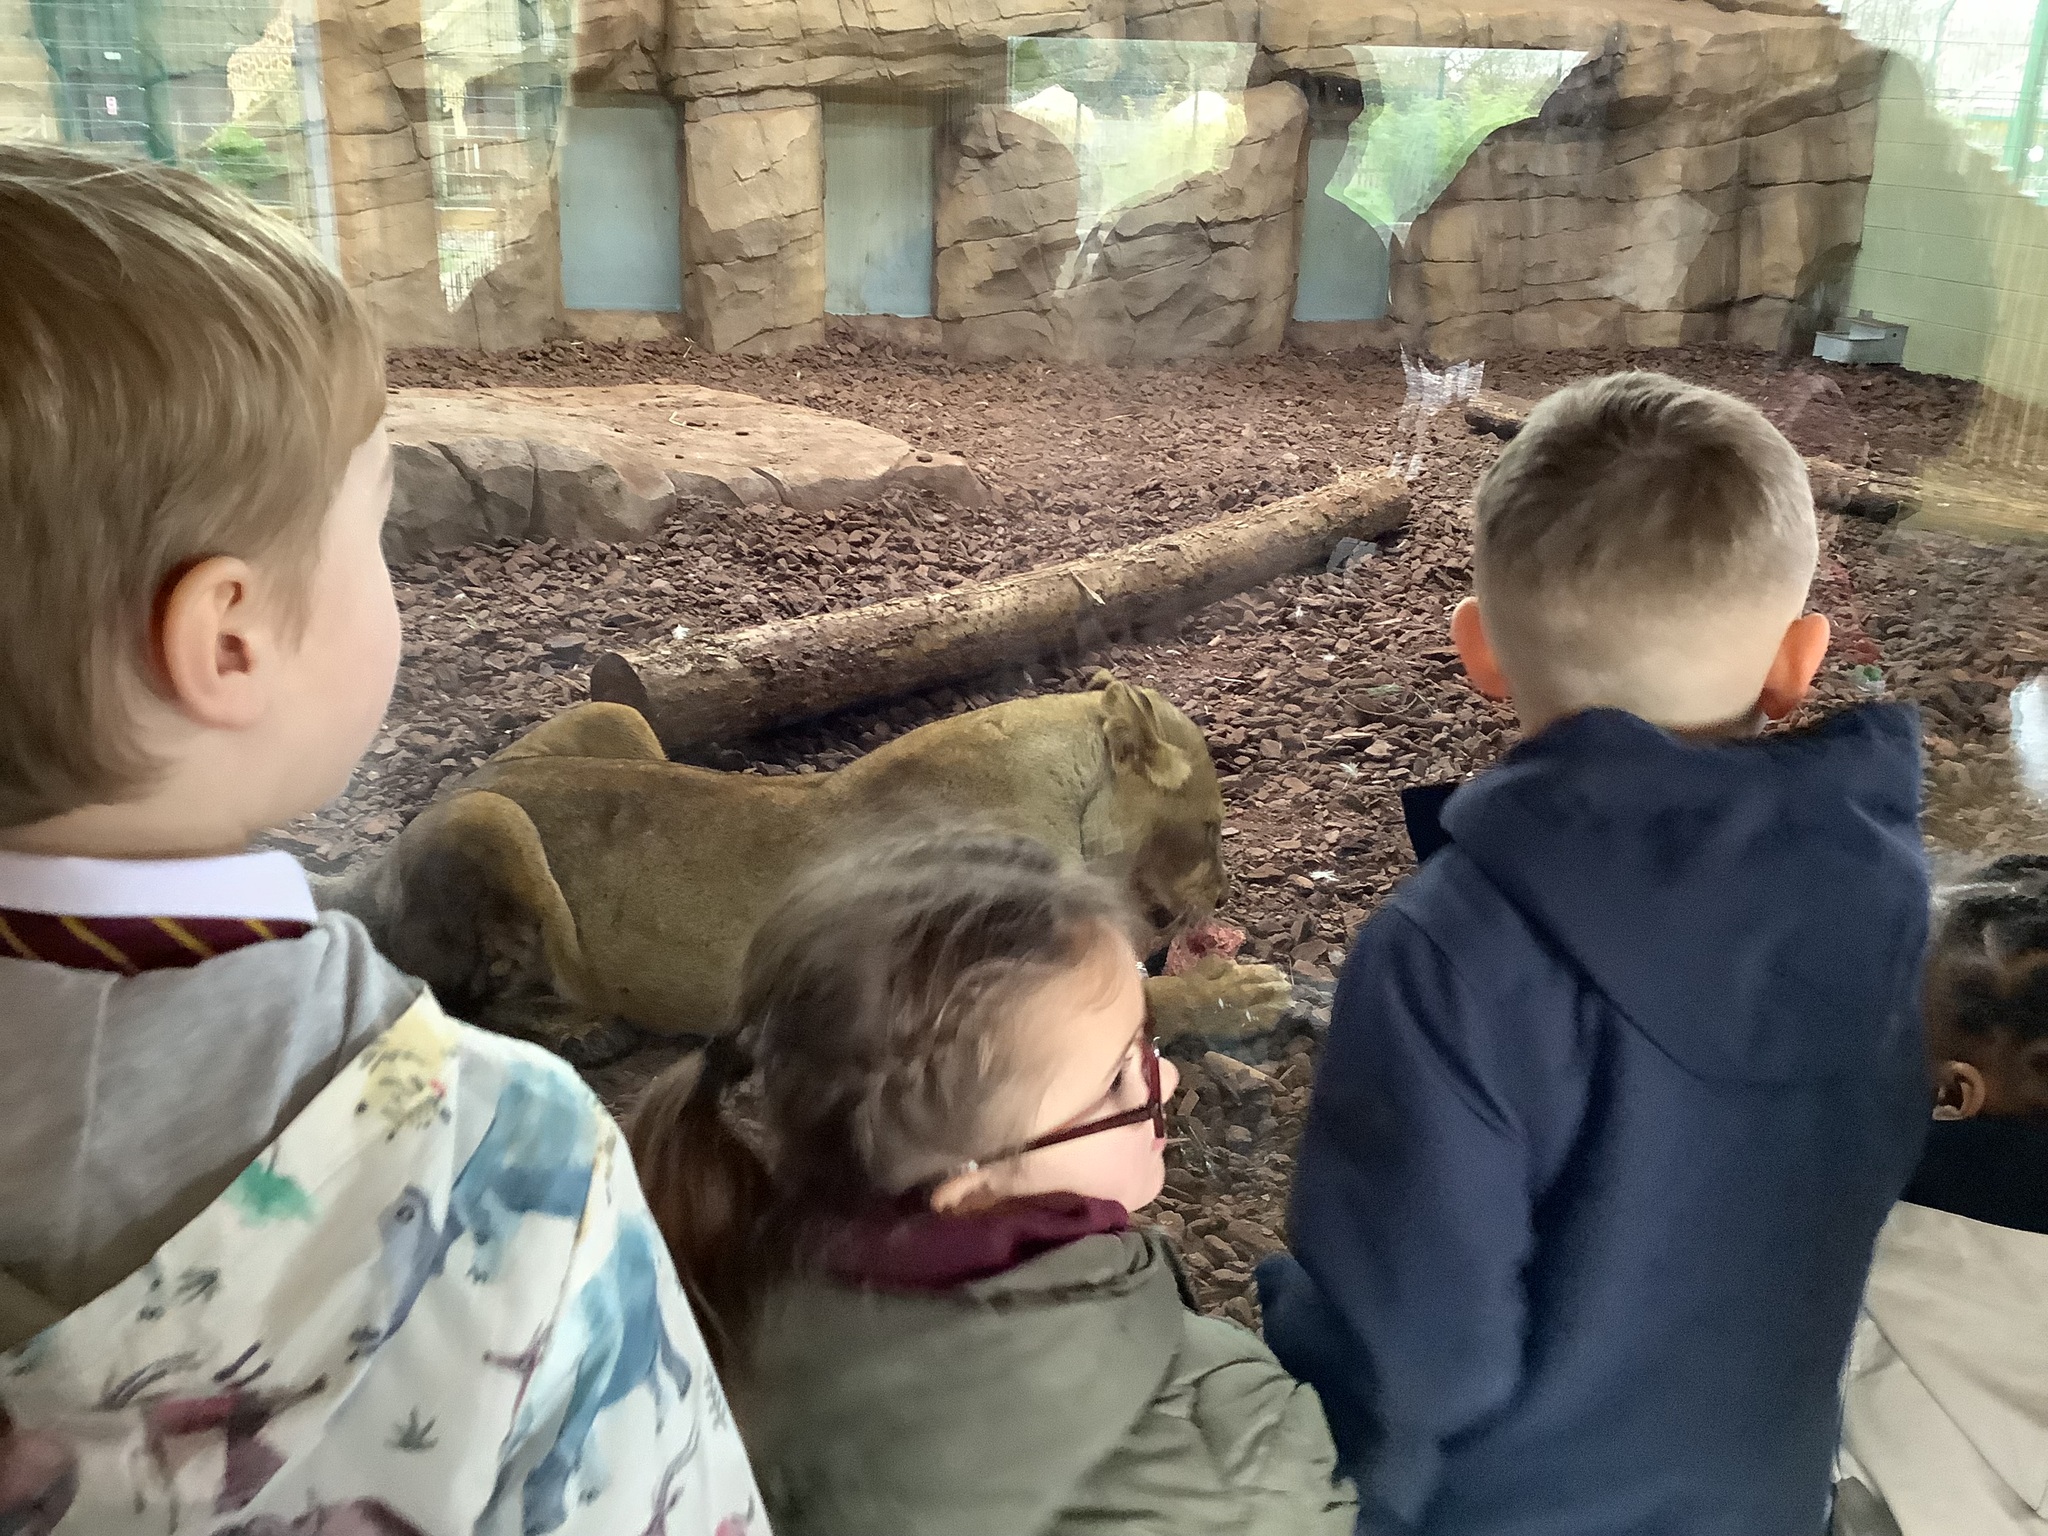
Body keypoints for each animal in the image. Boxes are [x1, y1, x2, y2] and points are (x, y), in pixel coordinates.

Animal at [318, 672, 1294, 1063]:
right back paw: (585, 1028)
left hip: (612, 721)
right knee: (452, 996)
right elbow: (1137, 997)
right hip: (492, 824)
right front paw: (1240, 994)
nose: (1225, 893)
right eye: (1211, 828)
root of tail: (376, 855)